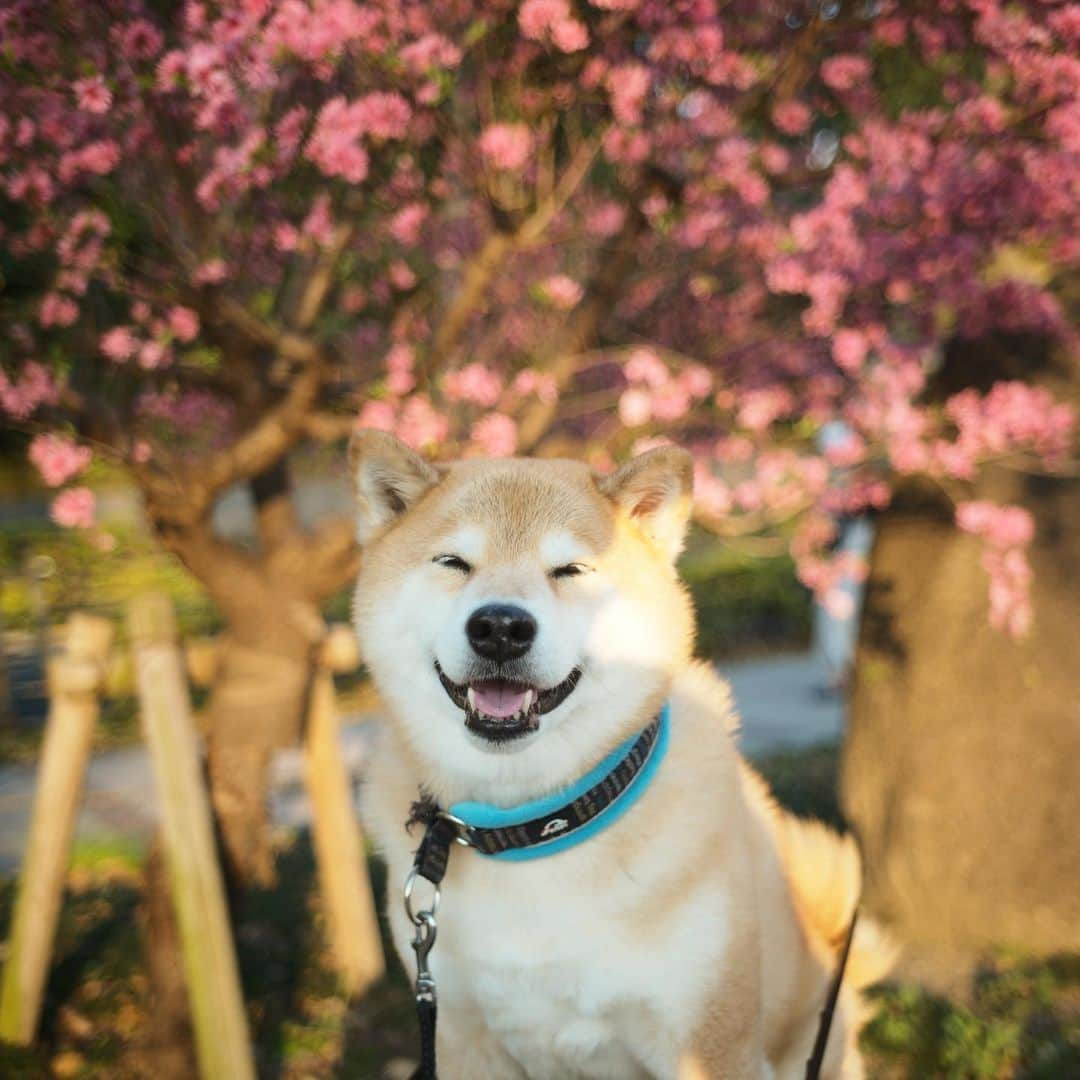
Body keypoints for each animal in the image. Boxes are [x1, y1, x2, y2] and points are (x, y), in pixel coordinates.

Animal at [354, 429, 894, 1080]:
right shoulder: (460, 1040)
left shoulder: (706, 1046)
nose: (500, 626)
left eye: (569, 569)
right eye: (454, 563)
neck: (532, 828)